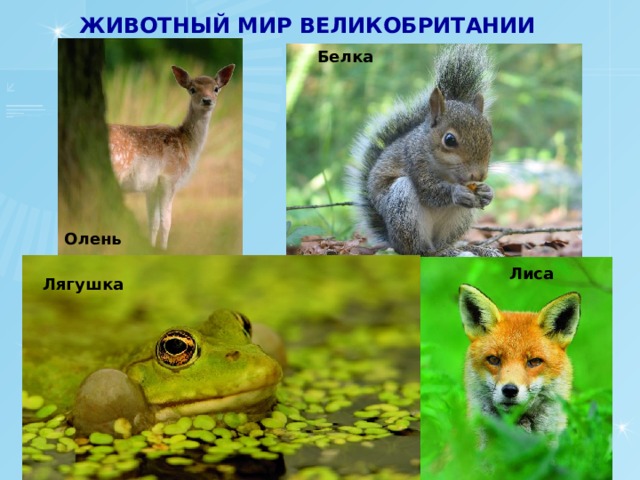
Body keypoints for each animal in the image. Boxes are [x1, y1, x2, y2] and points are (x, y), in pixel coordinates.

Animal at [108, 63, 235, 250]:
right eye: (192, 89)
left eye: (216, 88)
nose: (207, 100)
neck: (187, 145)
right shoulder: (169, 178)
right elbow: (166, 222)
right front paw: (164, 249)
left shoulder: (151, 187)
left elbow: (152, 223)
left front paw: (152, 247)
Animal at [349, 45, 502, 257]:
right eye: (449, 140)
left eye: (489, 133)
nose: (478, 175)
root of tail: (392, 240)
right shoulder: (415, 161)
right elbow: (429, 190)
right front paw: (456, 193)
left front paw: (487, 192)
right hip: (403, 207)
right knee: (419, 250)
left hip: (459, 220)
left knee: (443, 243)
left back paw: (459, 249)